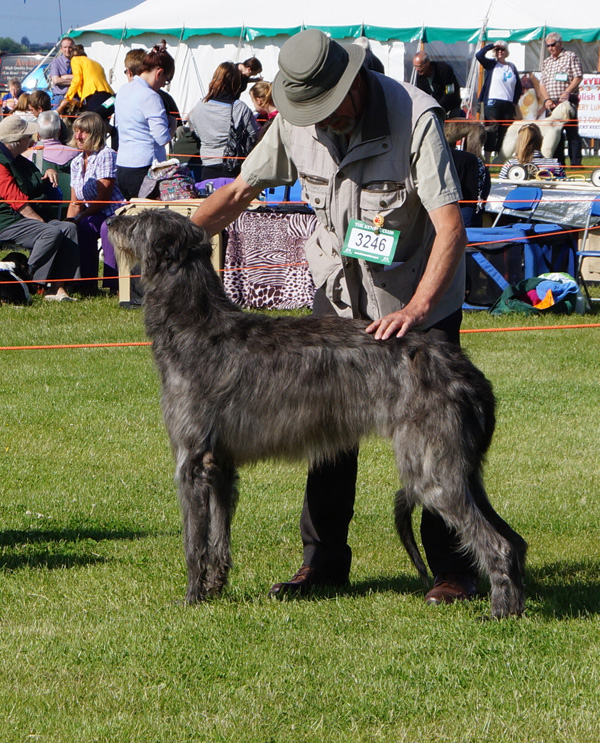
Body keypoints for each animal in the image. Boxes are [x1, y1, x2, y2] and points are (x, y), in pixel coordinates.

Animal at [110, 208, 528, 616]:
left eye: (140, 220)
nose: (113, 219)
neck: (195, 326)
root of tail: (466, 371)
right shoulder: (222, 466)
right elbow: (218, 537)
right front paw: (214, 588)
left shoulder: (193, 461)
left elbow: (194, 541)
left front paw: (191, 598)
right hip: (464, 467)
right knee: (515, 540)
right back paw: (516, 606)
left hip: (431, 469)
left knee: (496, 543)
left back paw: (499, 612)